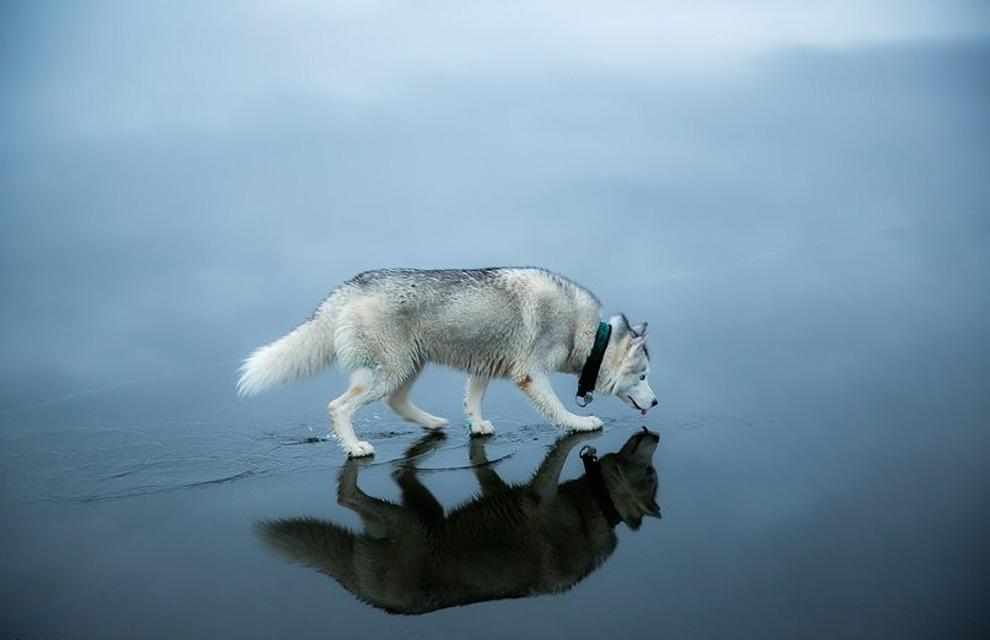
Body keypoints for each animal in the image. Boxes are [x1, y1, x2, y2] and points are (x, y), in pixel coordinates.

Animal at [239, 268, 660, 458]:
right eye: (642, 376)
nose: (656, 402)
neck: (587, 334)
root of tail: (353, 285)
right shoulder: (530, 374)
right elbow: (557, 409)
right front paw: (579, 423)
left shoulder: (485, 367)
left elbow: (473, 401)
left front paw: (476, 426)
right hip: (389, 371)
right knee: (337, 406)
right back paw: (354, 446)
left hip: (410, 365)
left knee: (396, 402)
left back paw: (432, 423)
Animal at [258, 428, 660, 612]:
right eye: (652, 473)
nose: (654, 432)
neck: (594, 508)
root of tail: (362, 592)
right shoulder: (538, 496)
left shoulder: (503, 491)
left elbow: (482, 463)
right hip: (407, 523)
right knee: (346, 494)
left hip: (421, 512)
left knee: (397, 474)